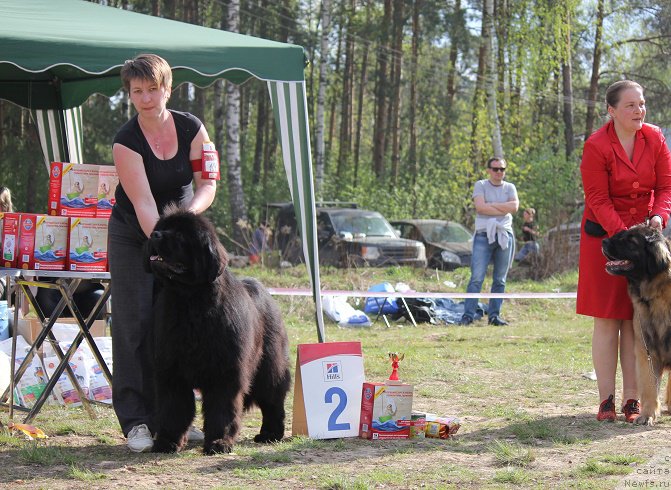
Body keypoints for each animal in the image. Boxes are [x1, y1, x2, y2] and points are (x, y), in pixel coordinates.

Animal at [144, 206, 292, 452]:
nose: (154, 235)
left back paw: (270, 434)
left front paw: (219, 441)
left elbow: (221, 409)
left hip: (269, 365)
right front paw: (168, 441)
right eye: (162, 228)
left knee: (273, 399)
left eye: (181, 235)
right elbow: (173, 409)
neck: (190, 303)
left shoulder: (225, 372)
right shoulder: (170, 371)